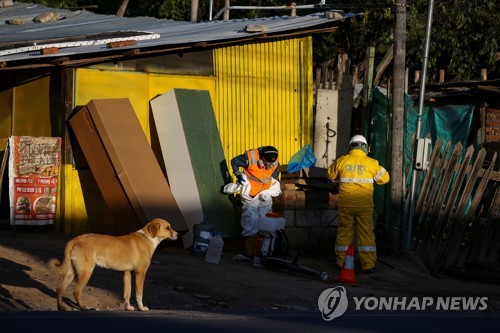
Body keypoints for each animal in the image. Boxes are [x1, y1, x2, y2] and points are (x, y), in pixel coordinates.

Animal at [48, 219, 178, 310]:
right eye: (168, 227)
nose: (178, 235)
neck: (148, 237)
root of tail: (75, 239)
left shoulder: (127, 273)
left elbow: (127, 293)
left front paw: (128, 307)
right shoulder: (140, 273)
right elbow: (139, 294)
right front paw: (141, 308)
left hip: (71, 273)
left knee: (59, 288)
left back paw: (61, 307)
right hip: (86, 272)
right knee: (76, 292)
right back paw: (84, 308)